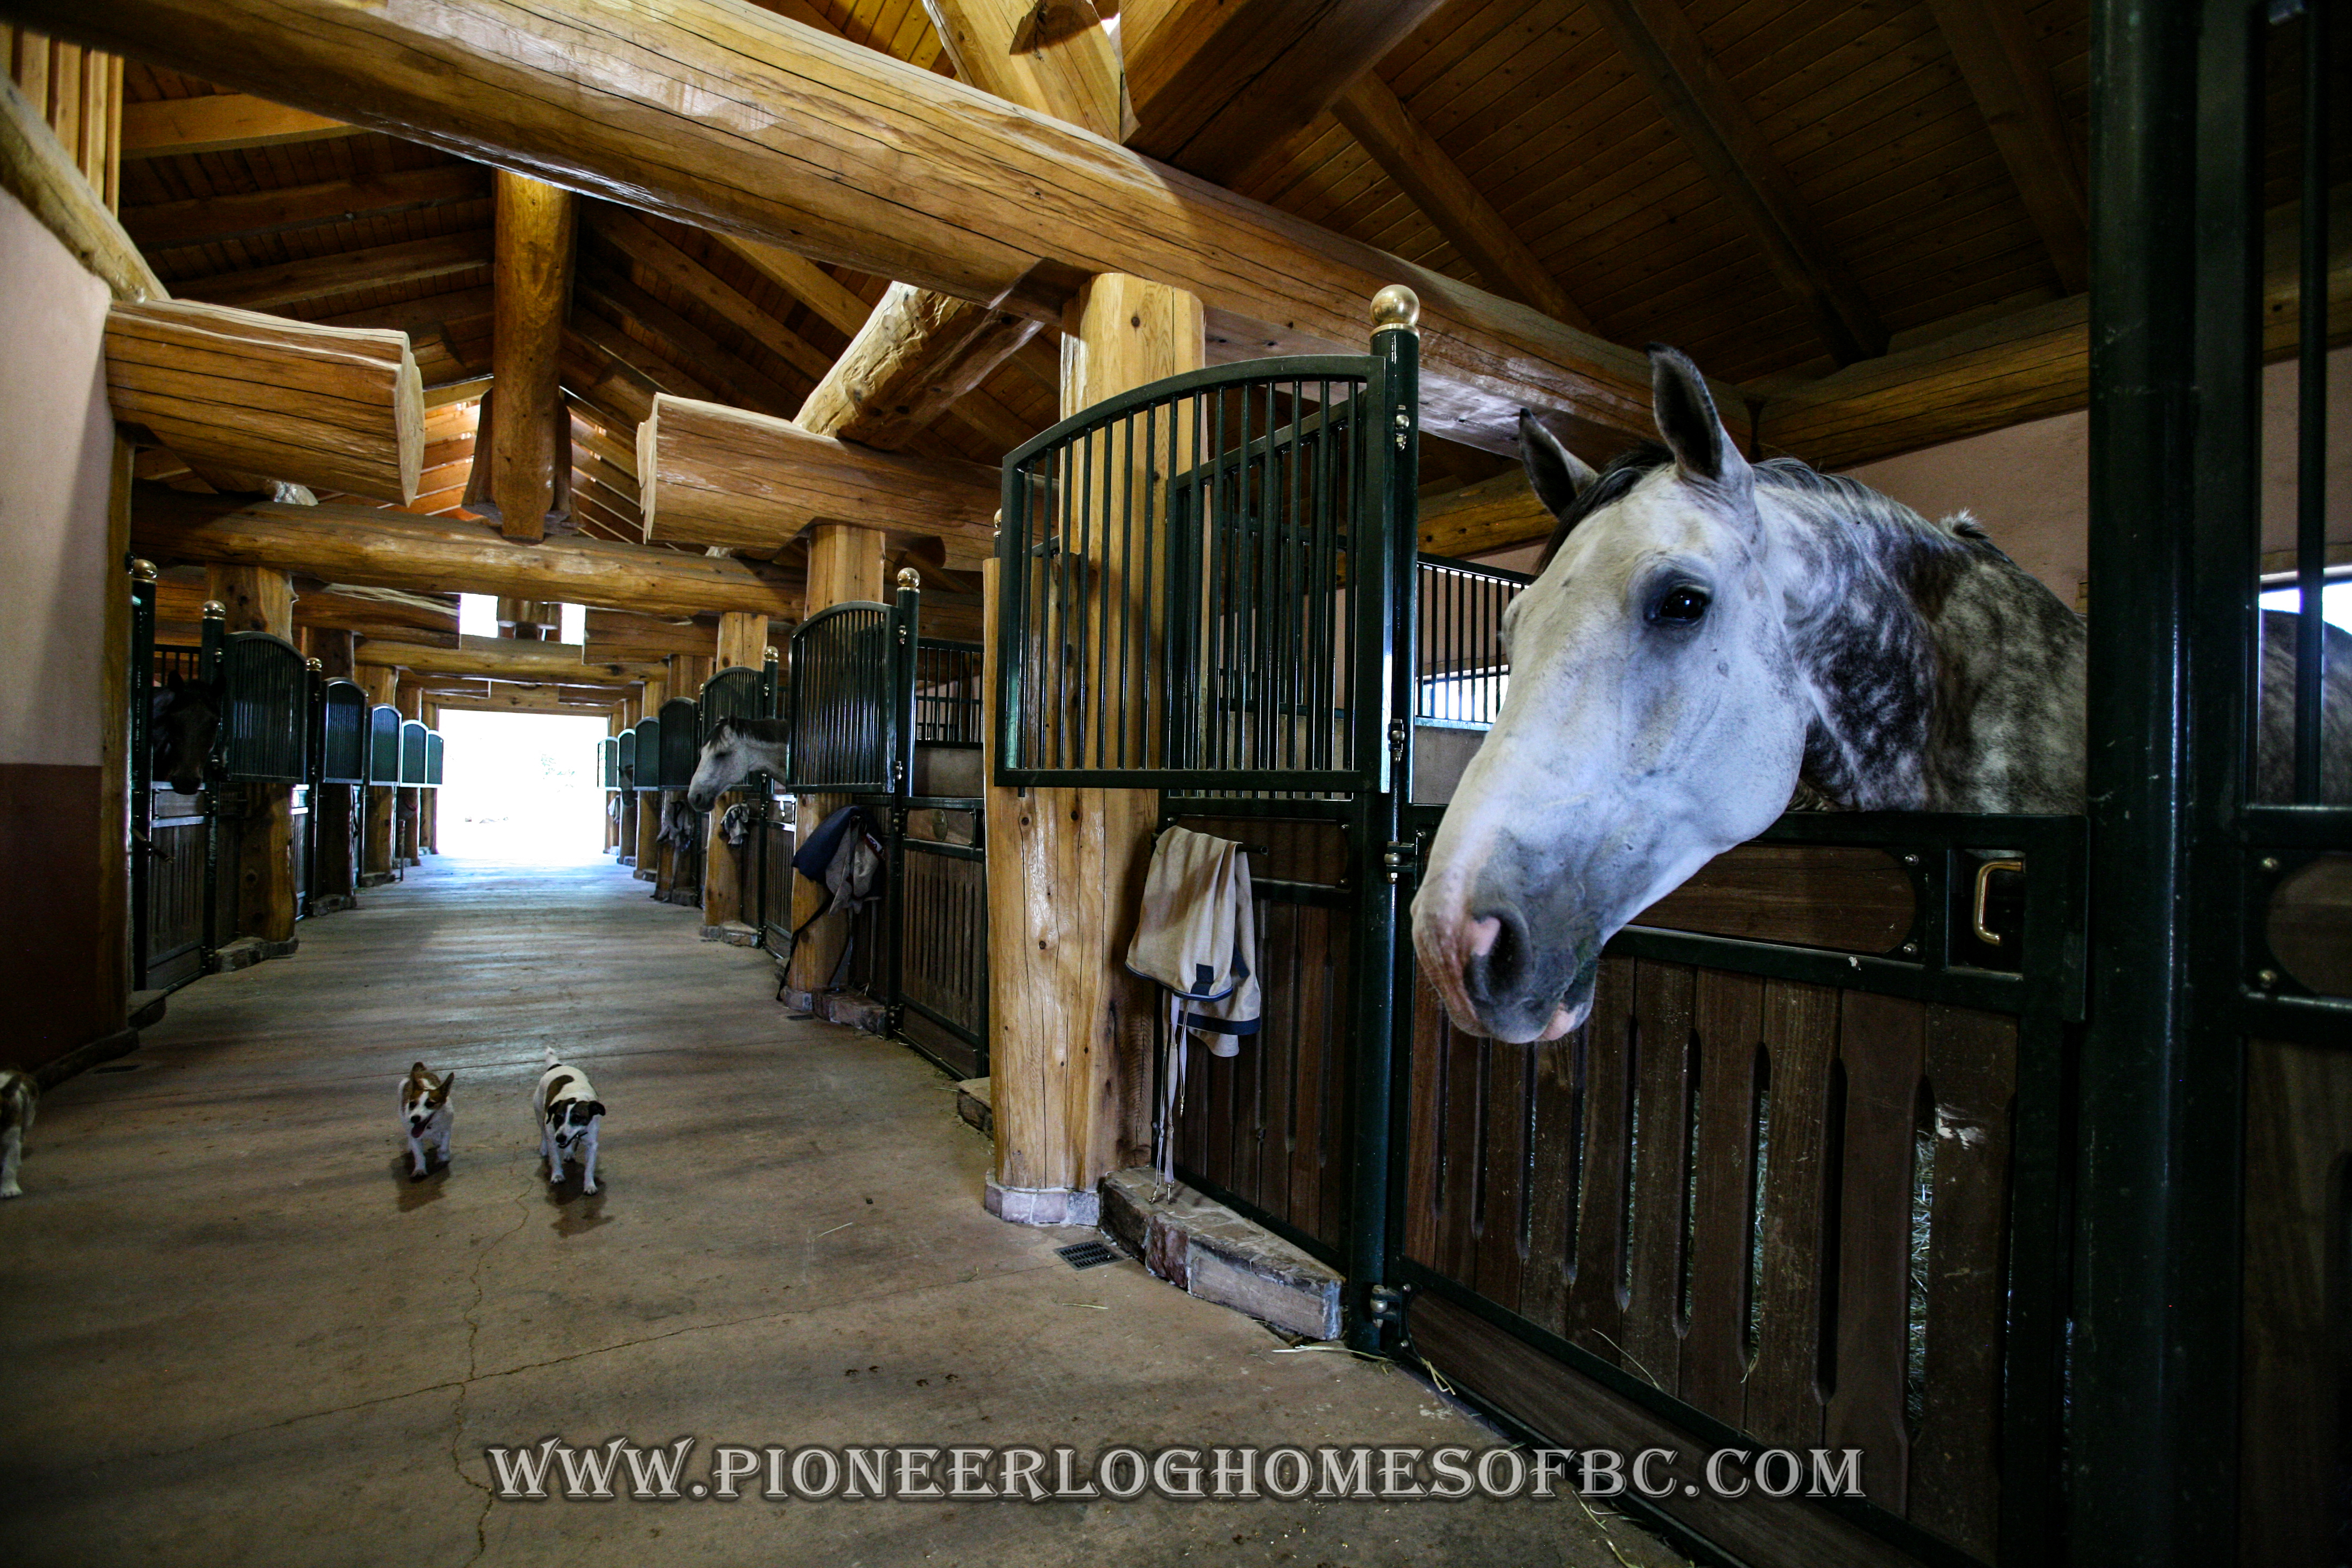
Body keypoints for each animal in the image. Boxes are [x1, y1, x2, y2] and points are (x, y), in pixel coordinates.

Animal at [400, 1062, 454, 1185]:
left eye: (430, 1104)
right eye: (412, 1104)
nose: (414, 1118)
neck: (429, 1126)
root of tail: (419, 1070)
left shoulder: (447, 1129)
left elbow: (444, 1147)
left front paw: (443, 1155)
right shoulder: (415, 1137)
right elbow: (419, 1155)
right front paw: (420, 1170)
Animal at [534, 1048, 606, 1194]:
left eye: (577, 1118)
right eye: (558, 1118)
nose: (560, 1138)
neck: (575, 1095)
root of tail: (556, 1065)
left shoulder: (592, 1145)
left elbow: (589, 1168)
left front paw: (589, 1185)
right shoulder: (553, 1139)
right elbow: (555, 1159)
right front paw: (557, 1176)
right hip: (539, 1114)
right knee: (543, 1132)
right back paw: (544, 1149)